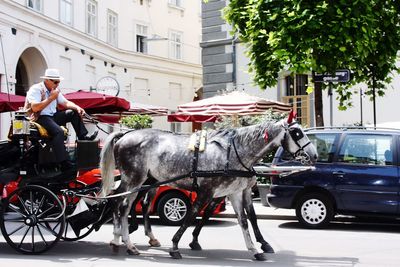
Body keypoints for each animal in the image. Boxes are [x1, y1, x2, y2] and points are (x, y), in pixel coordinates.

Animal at [101, 112, 318, 262]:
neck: (234, 153)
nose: (314, 155)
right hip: (133, 179)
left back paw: (125, 240)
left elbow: (245, 220)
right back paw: (122, 240)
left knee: (129, 205)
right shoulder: (207, 192)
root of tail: (124, 135)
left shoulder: (236, 192)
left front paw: (256, 249)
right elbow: (192, 215)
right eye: (297, 132)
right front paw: (176, 245)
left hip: (143, 181)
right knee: (120, 204)